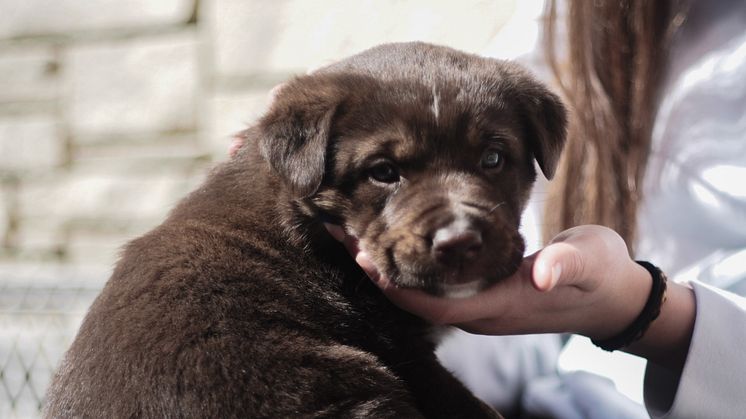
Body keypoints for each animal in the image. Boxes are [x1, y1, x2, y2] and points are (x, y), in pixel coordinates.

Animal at [43, 43, 564, 419]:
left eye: (493, 158)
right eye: (383, 171)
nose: (459, 240)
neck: (307, 221)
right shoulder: (402, 350)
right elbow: (463, 402)